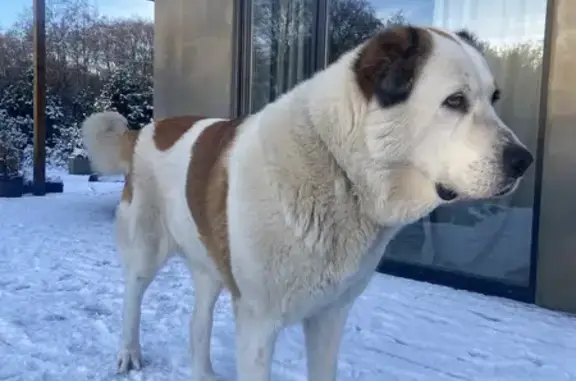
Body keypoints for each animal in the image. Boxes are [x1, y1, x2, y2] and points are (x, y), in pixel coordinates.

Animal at [82, 26, 536, 380]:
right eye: (455, 101)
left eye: (494, 98)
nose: (524, 161)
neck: (340, 166)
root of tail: (146, 129)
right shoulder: (259, 324)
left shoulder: (329, 318)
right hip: (146, 247)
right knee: (132, 297)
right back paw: (128, 354)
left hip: (210, 263)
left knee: (198, 322)